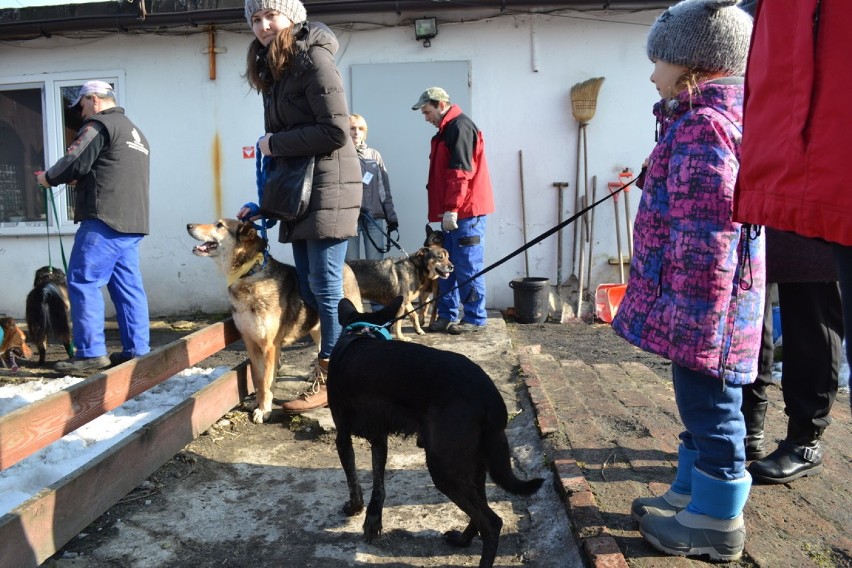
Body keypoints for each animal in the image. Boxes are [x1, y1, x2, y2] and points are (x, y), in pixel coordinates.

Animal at [188, 220, 362, 424]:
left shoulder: (270, 346)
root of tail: (345, 265)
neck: (249, 273)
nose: (188, 225)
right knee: (321, 348)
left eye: (219, 225)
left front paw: (264, 410)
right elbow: (257, 378)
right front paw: (257, 402)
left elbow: (266, 380)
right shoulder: (250, 343)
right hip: (316, 328)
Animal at [330, 298, 544, 568]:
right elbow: (379, 485)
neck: (360, 333)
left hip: (443, 468)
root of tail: (489, 394)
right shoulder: (379, 439)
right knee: (481, 510)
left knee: (492, 522)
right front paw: (373, 522)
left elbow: (353, 479)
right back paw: (462, 540)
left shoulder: (342, 437)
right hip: (471, 464)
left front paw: (354, 508)